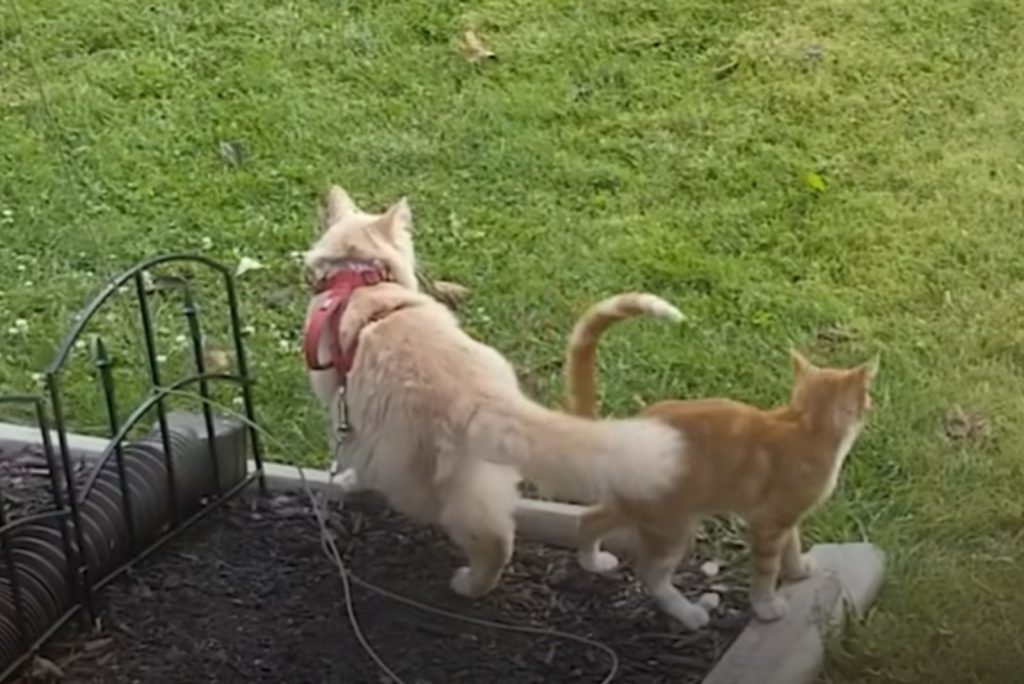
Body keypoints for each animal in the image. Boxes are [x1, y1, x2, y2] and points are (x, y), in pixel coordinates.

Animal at [307, 187, 684, 597]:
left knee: (492, 541)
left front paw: (347, 480)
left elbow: (348, 457)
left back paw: (468, 586)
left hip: (422, 479)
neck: (361, 281)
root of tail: (486, 399)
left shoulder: (343, 410)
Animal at [565, 290, 876, 626]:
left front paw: (798, 571)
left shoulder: (786, 517)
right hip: (672, 526)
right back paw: (687, 613)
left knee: (589, 519)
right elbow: (766, 570)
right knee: (649, 573)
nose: (871, 403)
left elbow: (791, 545)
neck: (805, 424)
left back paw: (593, 561)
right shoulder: (768, 523)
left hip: (640, 507)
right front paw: (766, 606)